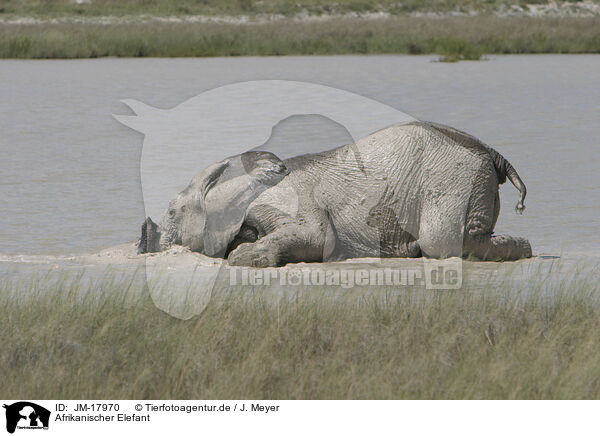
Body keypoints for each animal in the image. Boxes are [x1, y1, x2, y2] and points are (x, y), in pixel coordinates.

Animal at [138, 121, 532, 268]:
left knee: (442, 241)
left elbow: (318, 236)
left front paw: (243, 258)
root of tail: (495, 155)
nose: (145, 238)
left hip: (453, 178)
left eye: (172, 211)